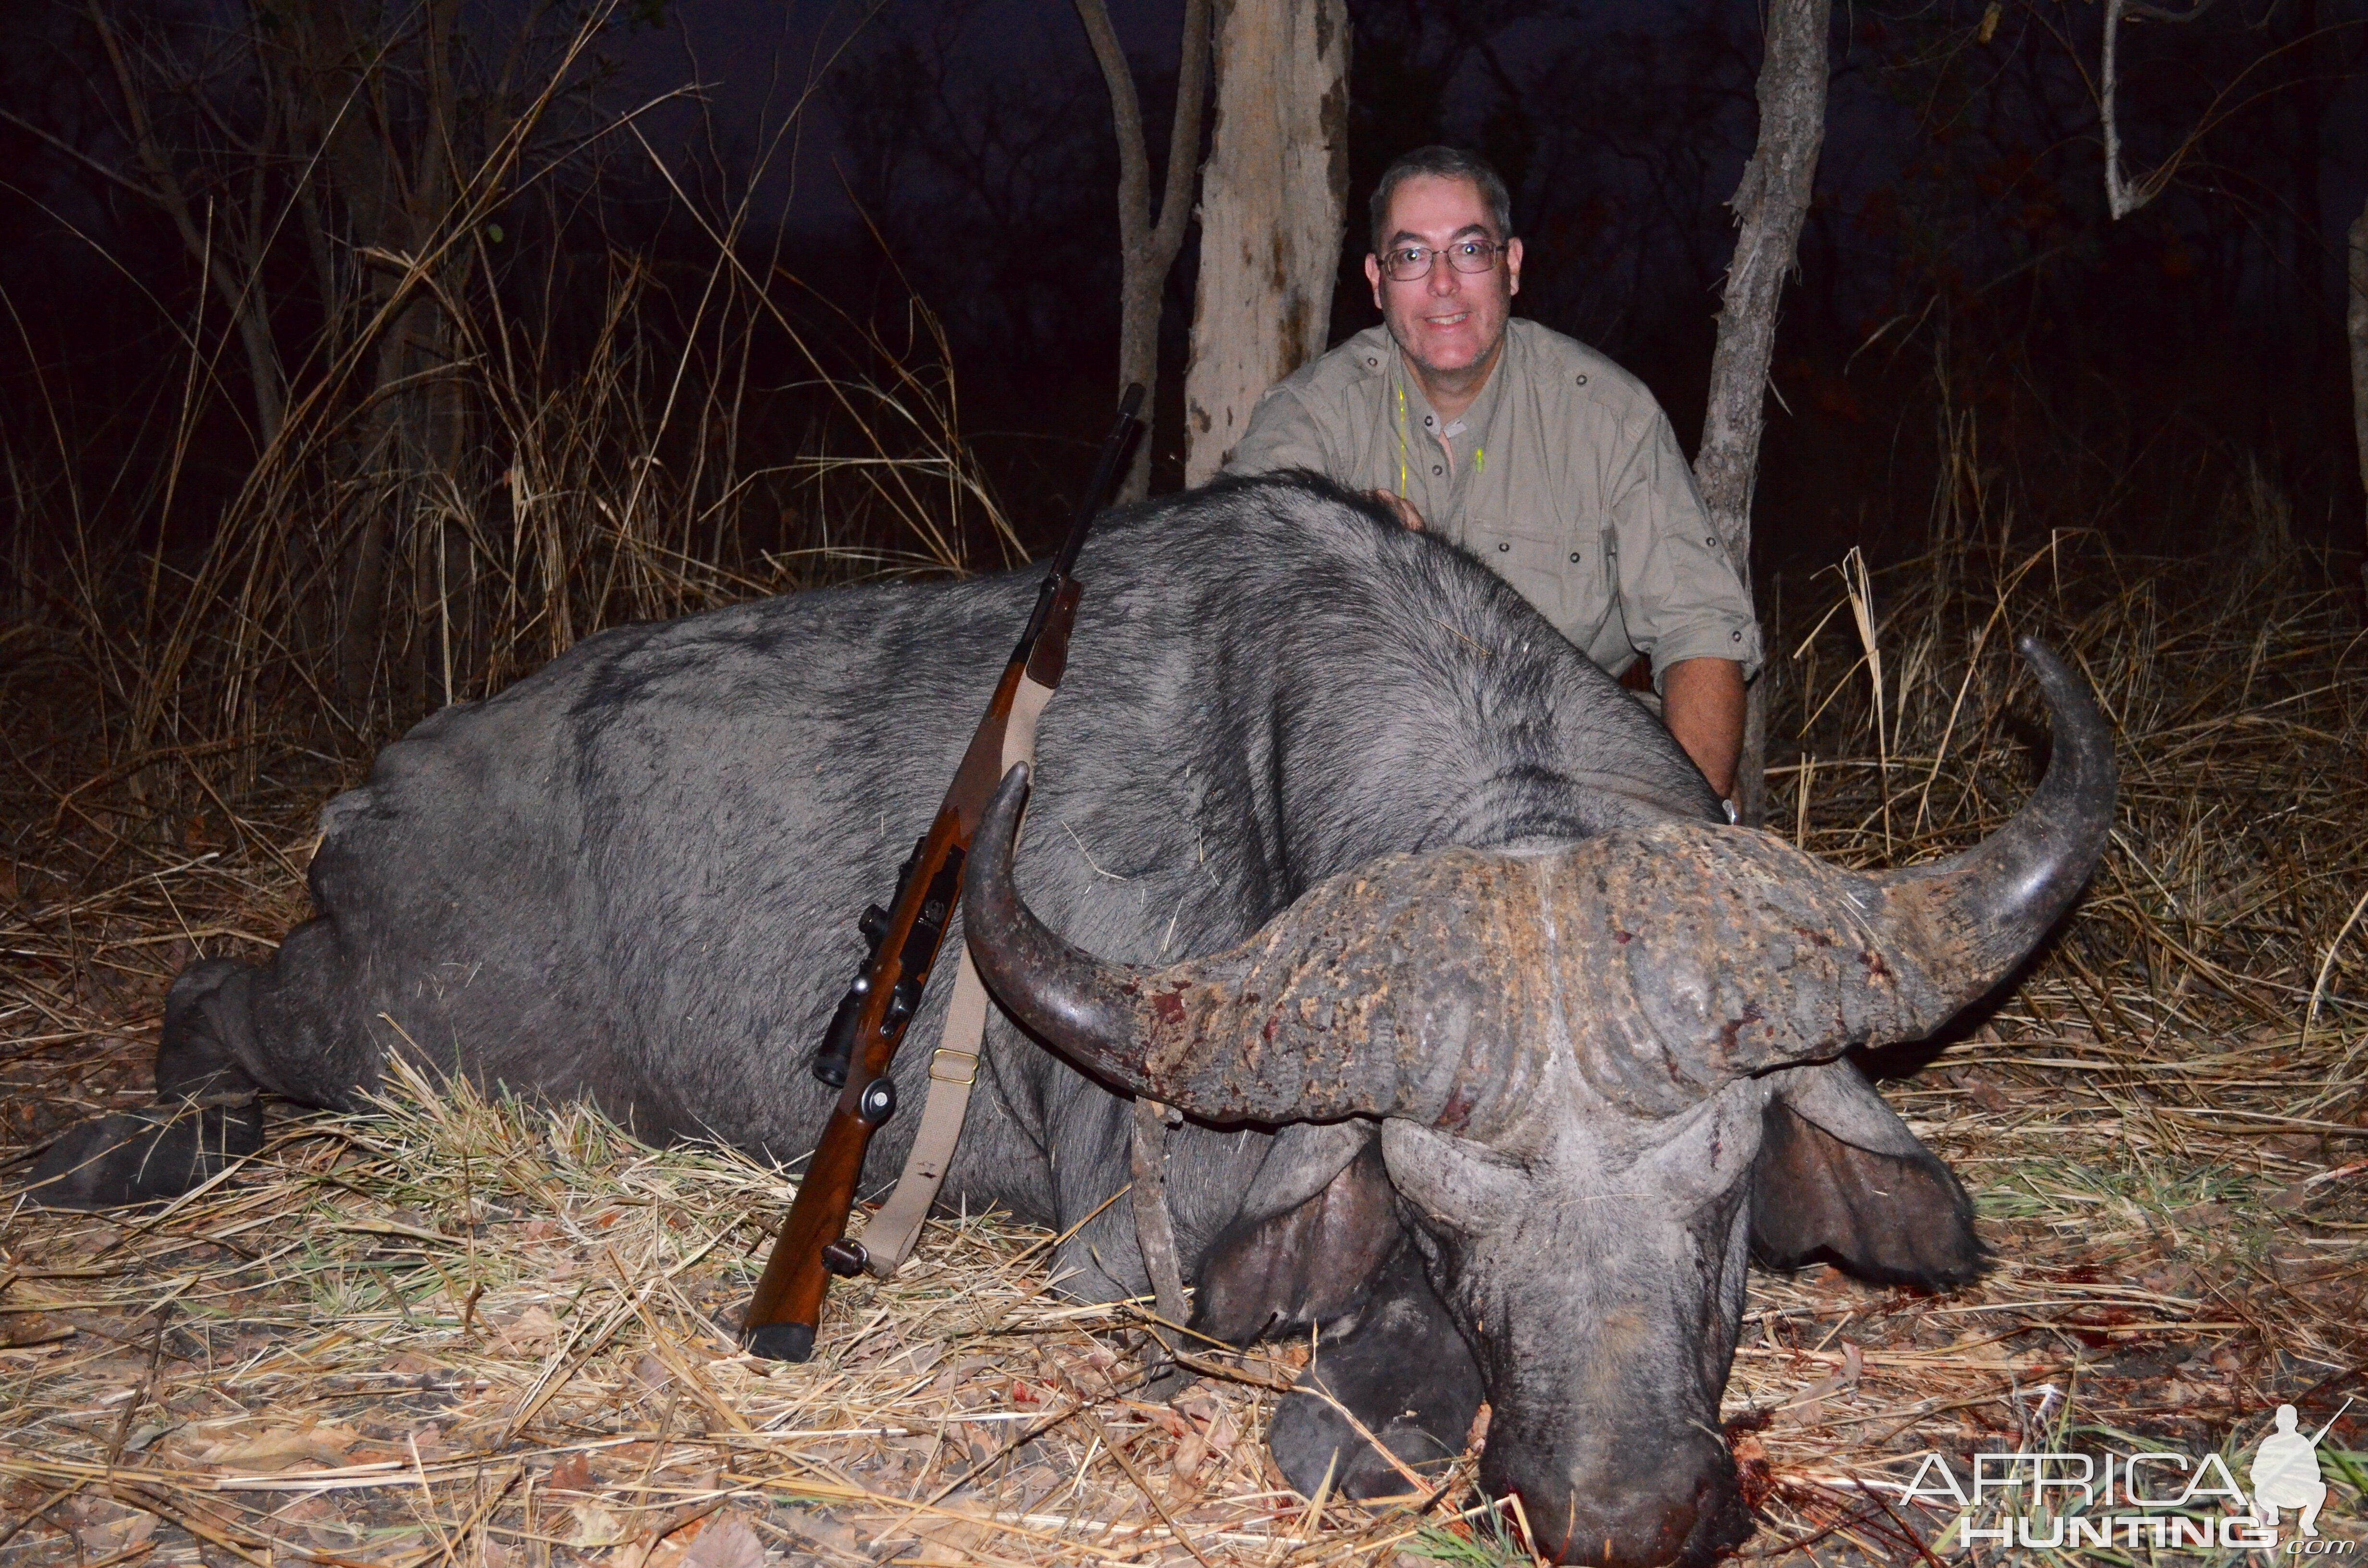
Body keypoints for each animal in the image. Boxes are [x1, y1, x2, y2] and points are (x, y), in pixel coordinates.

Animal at [27, 476, 2121, 1568]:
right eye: (1443, 1213)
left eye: (1719, 1185)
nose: (1623, 1515)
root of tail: (365, 806)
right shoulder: (1137, 1237)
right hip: (384, 1030)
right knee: (207, 1008)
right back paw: (109, 1153)